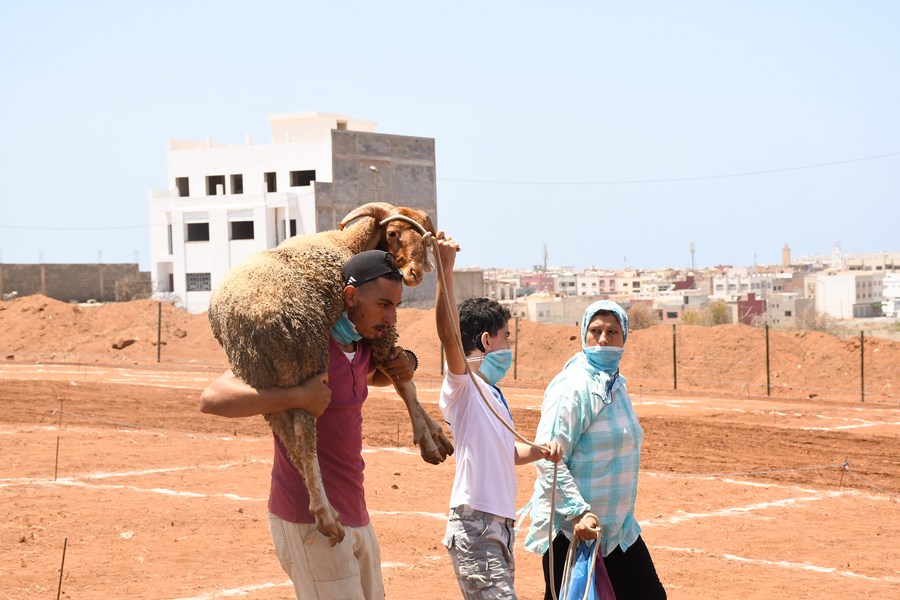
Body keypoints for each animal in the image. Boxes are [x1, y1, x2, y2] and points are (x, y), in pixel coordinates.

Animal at [207, 202, 454, 544]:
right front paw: (427, 440)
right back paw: (325, 513)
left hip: (260, 373)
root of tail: (251, 315)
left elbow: (398, 378)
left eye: (424, 238)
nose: (415, 274)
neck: (348, 244)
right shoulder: (378, 332)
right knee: (303, 435)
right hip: (303, 360)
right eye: (392, 233)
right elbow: (405, 385)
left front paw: (436, 435)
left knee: (288, 438)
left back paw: (316, 498)